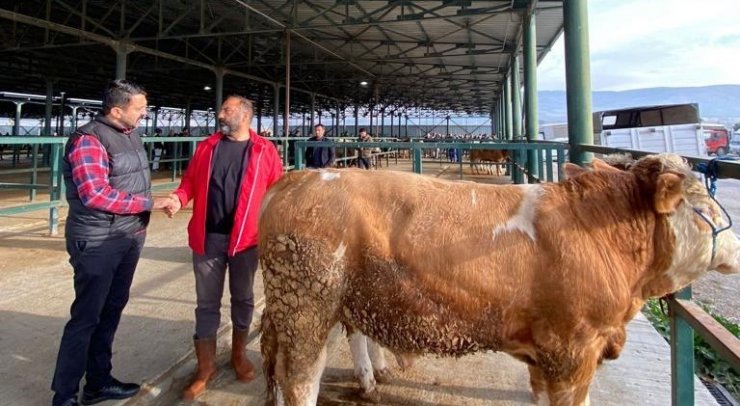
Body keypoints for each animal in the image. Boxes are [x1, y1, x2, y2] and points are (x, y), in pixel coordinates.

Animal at [258, 156, 740, 406]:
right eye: (702, 201)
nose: (735, 245)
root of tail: (296, 178)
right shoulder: (573, 350)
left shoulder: (547, 357)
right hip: (305, 307)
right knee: (300, 379)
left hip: (330, 303)